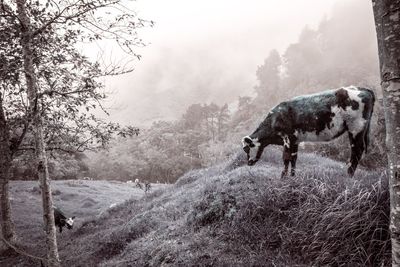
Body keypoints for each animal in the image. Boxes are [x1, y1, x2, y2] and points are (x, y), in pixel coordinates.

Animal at [241, 86, 376, 178]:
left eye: (246, 149)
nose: (249, 162)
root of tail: (362, 88)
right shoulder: (295, 140)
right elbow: (294, 158)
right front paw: (292, 177)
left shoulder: (287, 138)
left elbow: (285, 158)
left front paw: (283, 177)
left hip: (356, 127)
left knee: (357, 150)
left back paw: (348, 175)